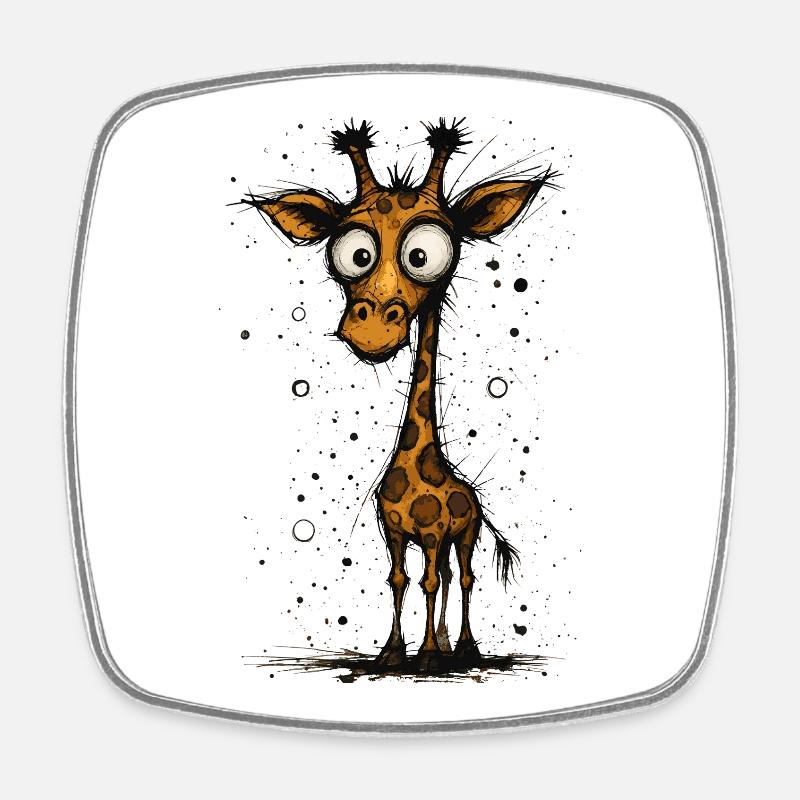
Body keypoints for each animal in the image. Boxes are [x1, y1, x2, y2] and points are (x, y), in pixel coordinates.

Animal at [244, 119, 554, 672]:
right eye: (356, 254)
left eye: (423, 256)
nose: (370, 330)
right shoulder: (392, 530)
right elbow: (398, 578)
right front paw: (392, 652)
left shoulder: (432, 534)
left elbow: (428, 580)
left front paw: (427, 655)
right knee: (449, 577)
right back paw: (450, 646)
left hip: (466, 533)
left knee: (462, 575)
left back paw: (463, 648)